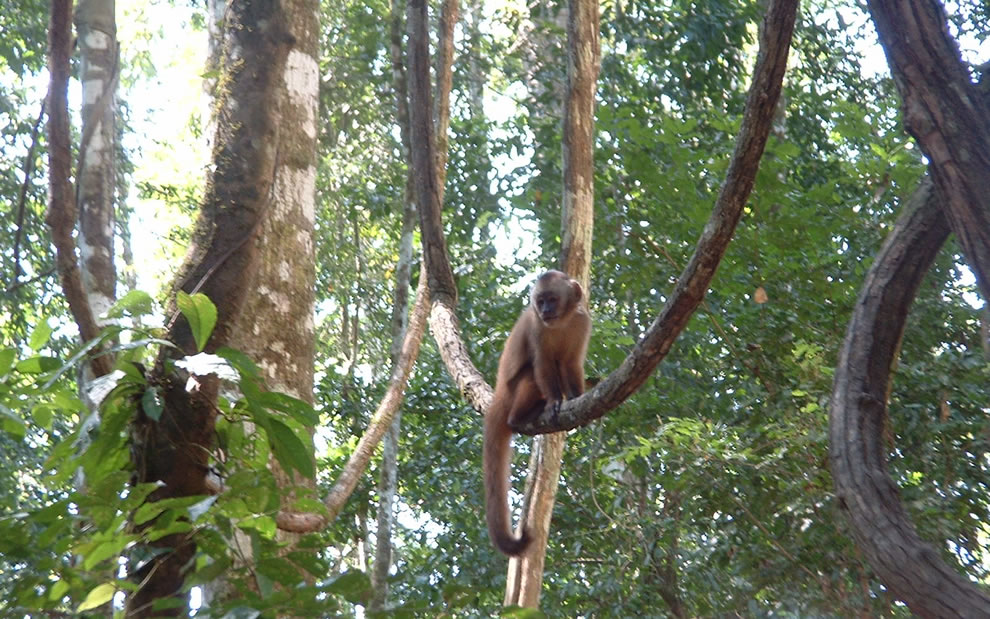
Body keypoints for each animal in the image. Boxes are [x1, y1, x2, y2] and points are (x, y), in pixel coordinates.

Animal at [486, 272, 592, 556]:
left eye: (552, 300)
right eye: (541, 301)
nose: (545, 311)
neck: (561, 322)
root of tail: (498, 394)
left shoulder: (582, 321)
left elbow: (570, 363)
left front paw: (576, 399)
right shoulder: (537, 327)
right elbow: (542, 364)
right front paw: (555, 401)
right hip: (510, 392)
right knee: (533, 375)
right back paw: (520, 417)